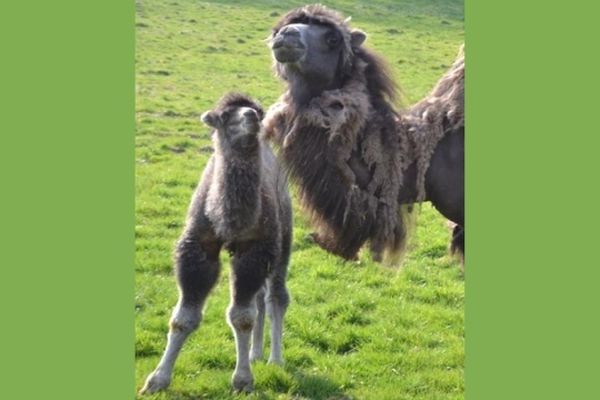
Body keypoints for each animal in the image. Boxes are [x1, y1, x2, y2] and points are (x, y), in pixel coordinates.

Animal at [141, 93, 290, 394]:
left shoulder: (256, 249)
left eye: (258, 111)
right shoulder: (198, 247)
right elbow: (183, 317)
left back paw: (275, 359)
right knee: (260, 298)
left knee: (275, 297)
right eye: (223, 116)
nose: (251, 117)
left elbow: (242, 316)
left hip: (284, 237)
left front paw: (243, 380)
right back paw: (255, 353)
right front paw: (157, 379)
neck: (227, 219)